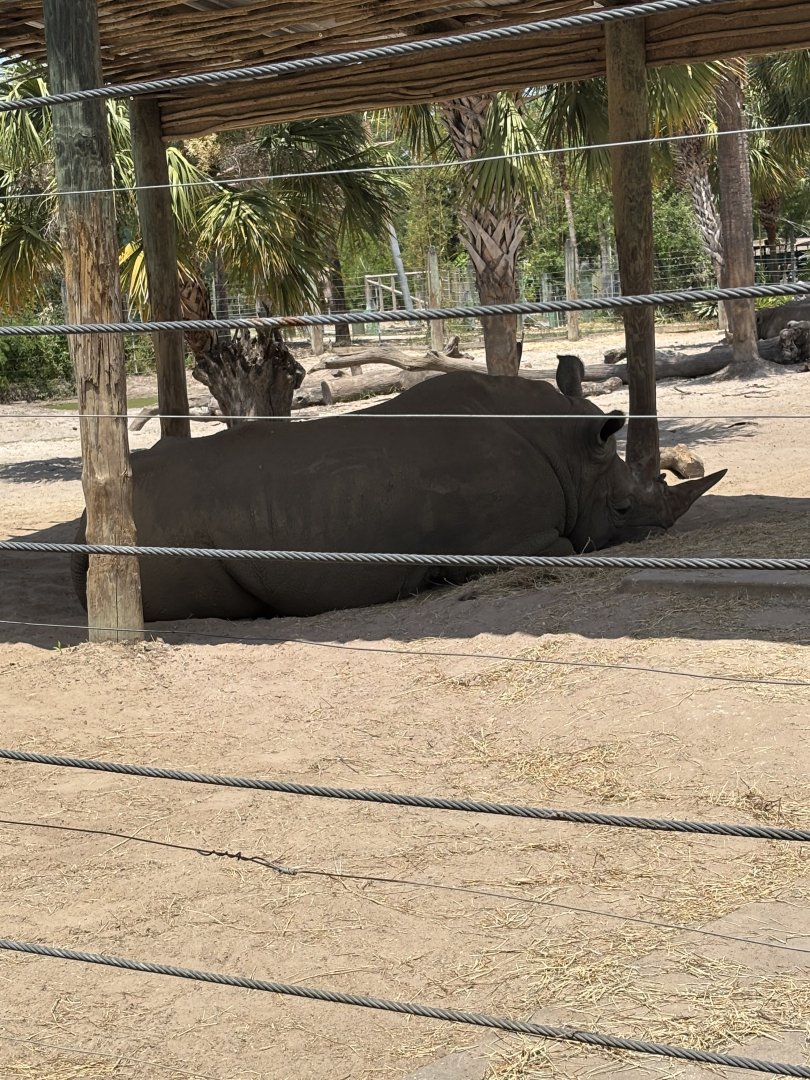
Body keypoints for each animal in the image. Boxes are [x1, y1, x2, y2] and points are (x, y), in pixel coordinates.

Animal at [72, 361, 724, 620]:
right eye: (622, 508)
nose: (661, 531)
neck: (568, 451)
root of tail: (87, 521)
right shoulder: (517, 538)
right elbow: (564, 547)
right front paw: (433, 579)